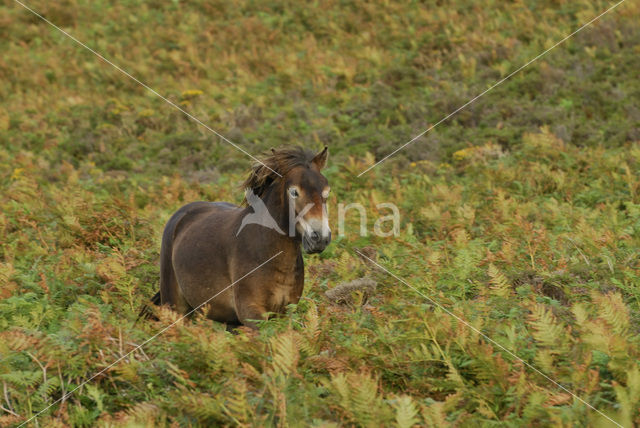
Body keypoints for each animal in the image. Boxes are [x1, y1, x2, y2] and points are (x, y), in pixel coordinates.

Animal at [147, 146, 332, 328]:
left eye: (326, 192)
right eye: (294, 192)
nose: (320, 237)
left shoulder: (285, 314)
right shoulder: (252, 315)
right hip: (174, 308)